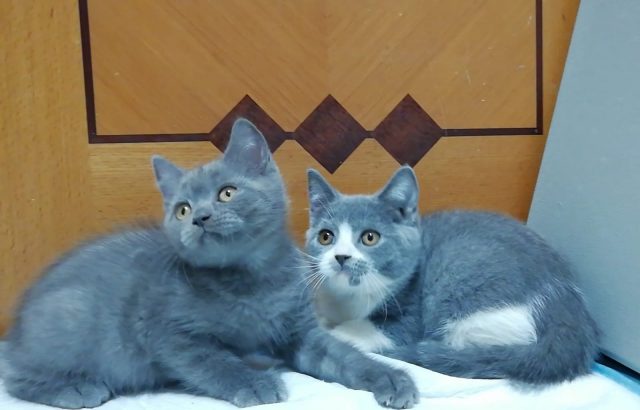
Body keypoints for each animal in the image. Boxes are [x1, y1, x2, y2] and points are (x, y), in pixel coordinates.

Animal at [3, 119, 419, 409]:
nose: (200, 218)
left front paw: (390, 378)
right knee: (16, 376)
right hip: (71, 313)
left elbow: (345, 355)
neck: (254, 283)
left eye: (227, 193)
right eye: (182, 209)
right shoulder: (170, 335)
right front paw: (254, 382)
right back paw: (74, 386)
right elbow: (215, 362)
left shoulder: (301, 333)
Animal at [304, 165, 599, 384]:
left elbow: (363, 331)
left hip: (466, 284)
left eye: (369, 237)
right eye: (326, 236)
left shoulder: (408, 315)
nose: (341, 256)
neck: (348, 298)